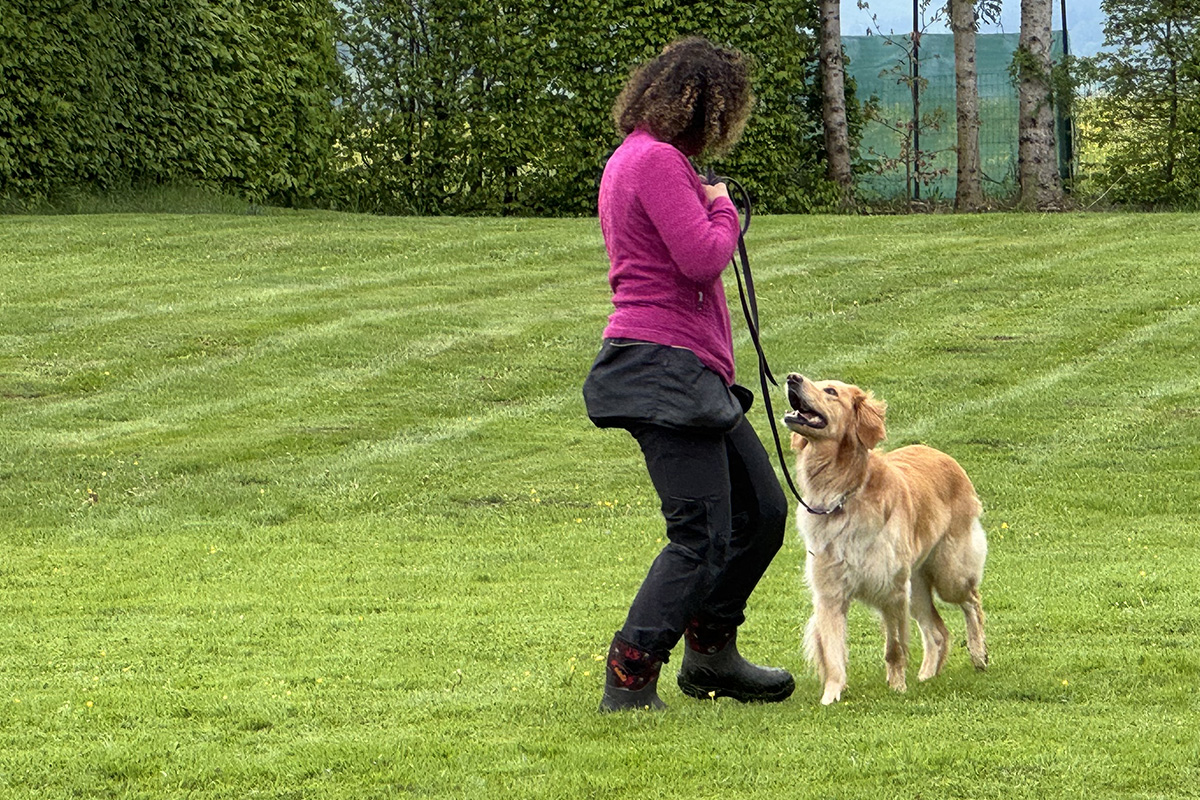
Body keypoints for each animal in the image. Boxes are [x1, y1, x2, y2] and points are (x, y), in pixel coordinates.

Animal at [783, 374, 988, 705]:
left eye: (831, 391)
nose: (792, 378)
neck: (842, 492)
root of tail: (941, 454)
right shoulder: (830, 593)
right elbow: (834, 653)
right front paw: (831, 696)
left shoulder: (891, 591)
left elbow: (894, 648)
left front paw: (897, 687)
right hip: (916, 587)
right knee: (937, 632)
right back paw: (927, 675)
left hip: (948, 574)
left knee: (972, 601)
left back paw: (979, 654)